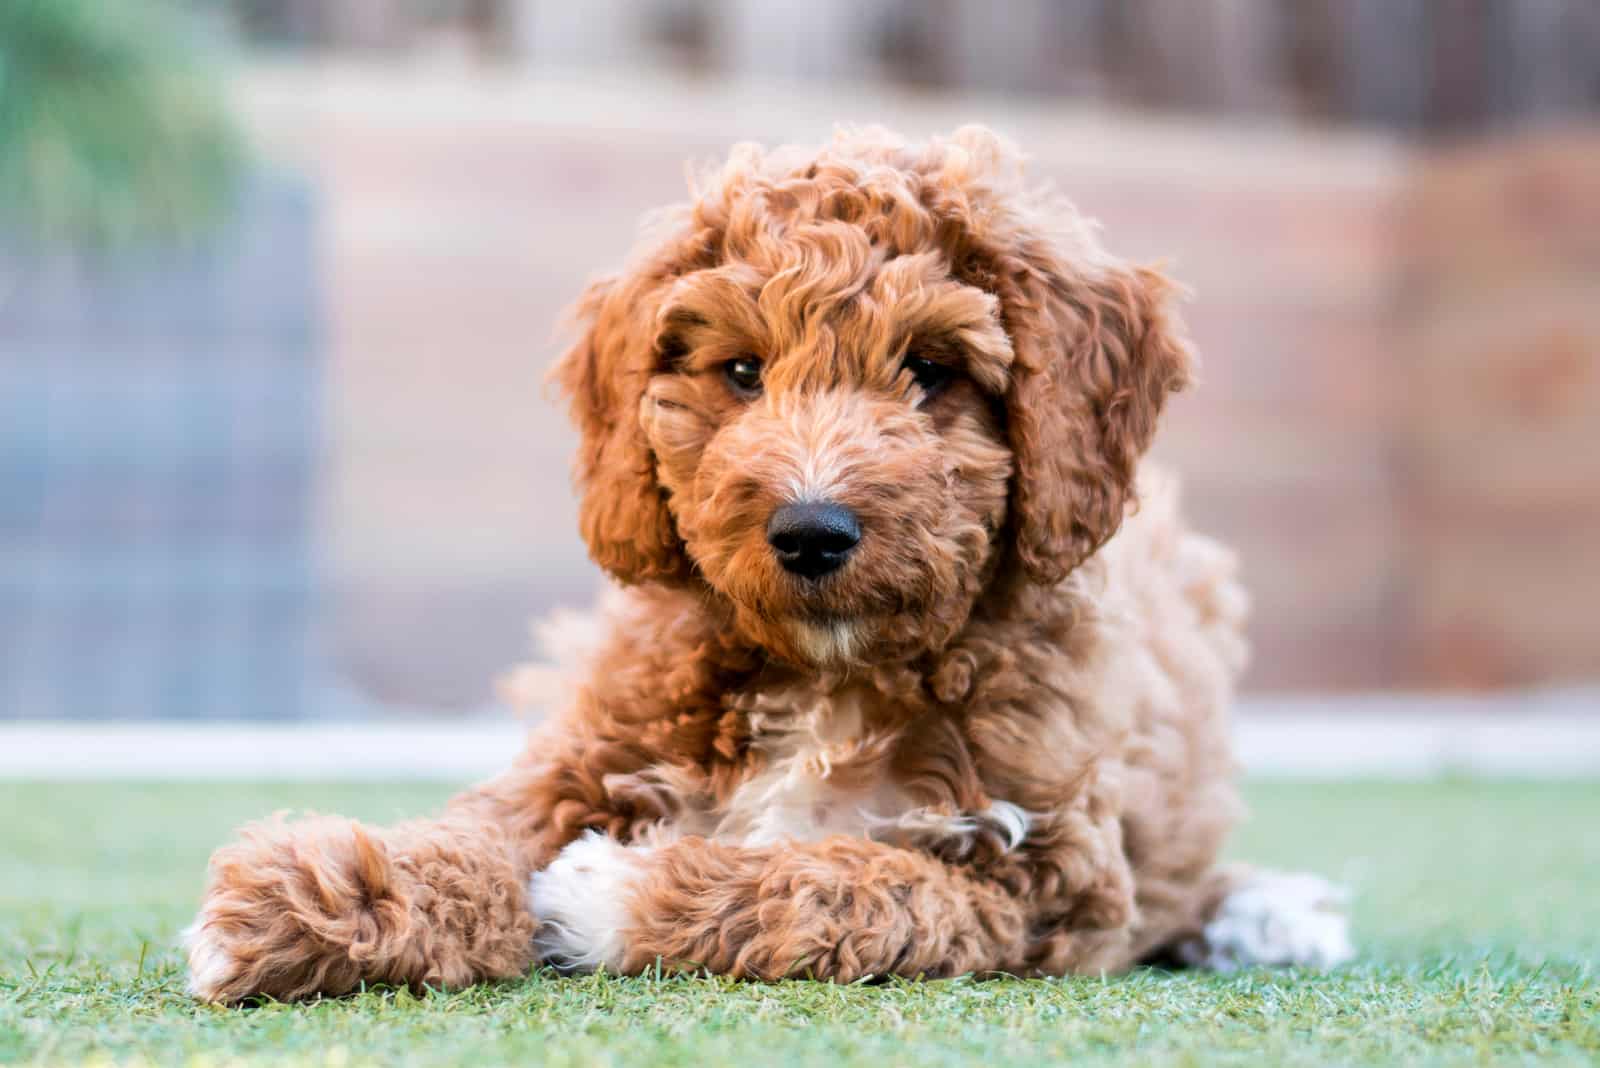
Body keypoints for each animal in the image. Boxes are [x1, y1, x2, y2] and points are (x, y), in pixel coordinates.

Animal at [193, 127, 1356, 1004]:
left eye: (930, 370)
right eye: (743, 372)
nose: (810, 529)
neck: (824, 674)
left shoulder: (1047, 882)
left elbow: (847, 879)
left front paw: (607, 894)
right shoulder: (587, 749)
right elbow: (479, 827)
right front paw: (312, 898)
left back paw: (1269, 915)